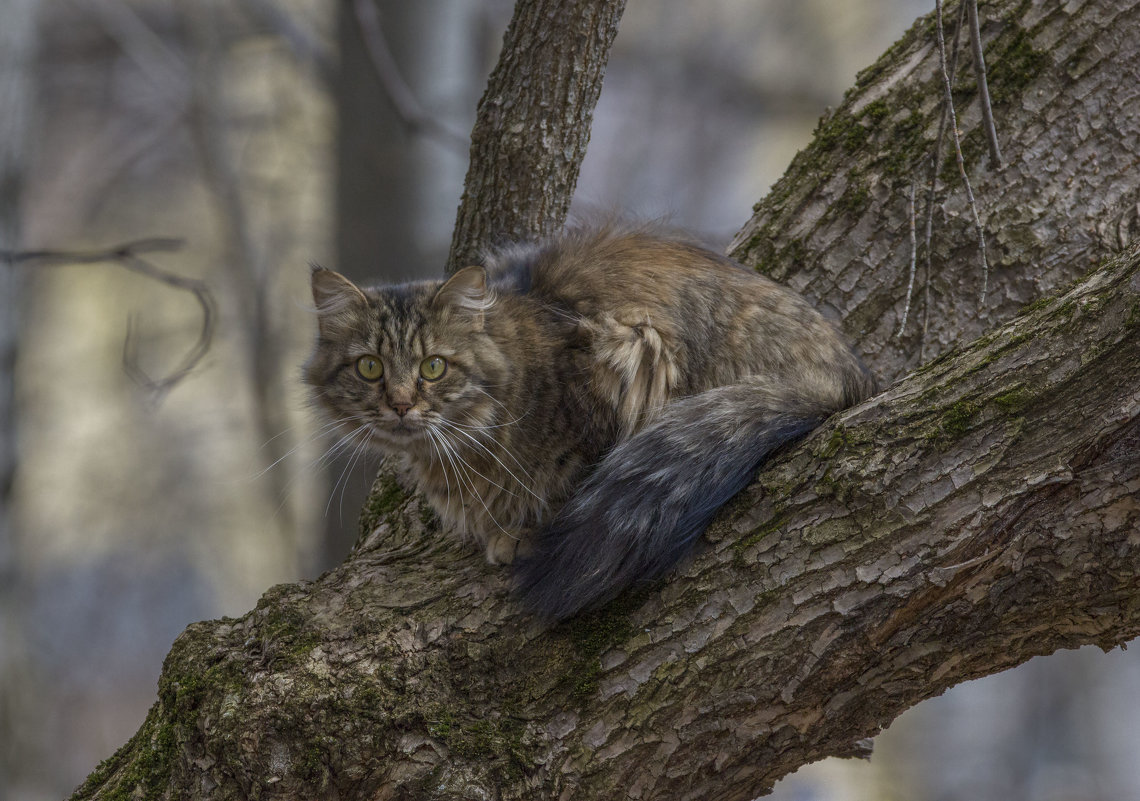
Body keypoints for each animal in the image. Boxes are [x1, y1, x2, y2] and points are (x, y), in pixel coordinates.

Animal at [303, 222, 870, 624]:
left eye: (433, 367)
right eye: (370, 367)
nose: (400, 404)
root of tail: (843, 371)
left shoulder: (614, 367)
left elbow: (570, 477)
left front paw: (524, 534)